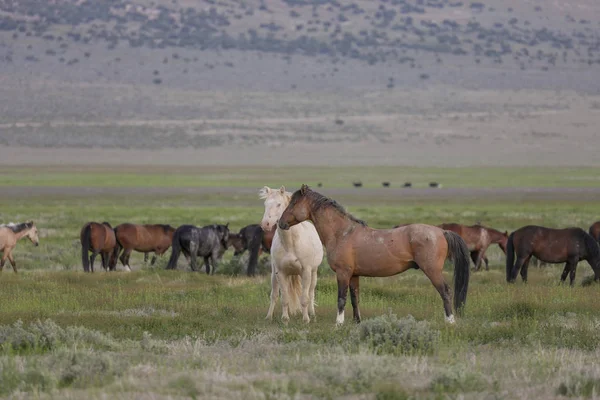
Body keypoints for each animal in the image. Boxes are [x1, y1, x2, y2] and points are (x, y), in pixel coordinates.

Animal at [258, 186, 324, 324]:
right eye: (265, 204)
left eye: (278, 204)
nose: (265, 225)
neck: (290, 244)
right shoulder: (281, 273)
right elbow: (284, 298)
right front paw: (285, 319)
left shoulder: (306, 272)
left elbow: (304, 298)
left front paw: (306, 319)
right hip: (275, 275)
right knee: (274, 295)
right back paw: (269, 316)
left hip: (314, 273)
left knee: (311, 293)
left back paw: (312, 313)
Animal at [278, 184, 472, 324]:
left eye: (293, 204)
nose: (281, 223)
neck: (343, 233)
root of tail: (442, 232)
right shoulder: (354, 275)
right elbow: (355, 298)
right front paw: (357, 321)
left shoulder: (343, 273)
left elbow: (341, 298)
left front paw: (339, 323)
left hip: (432, 271)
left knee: (445, 291)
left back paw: (450, 321)